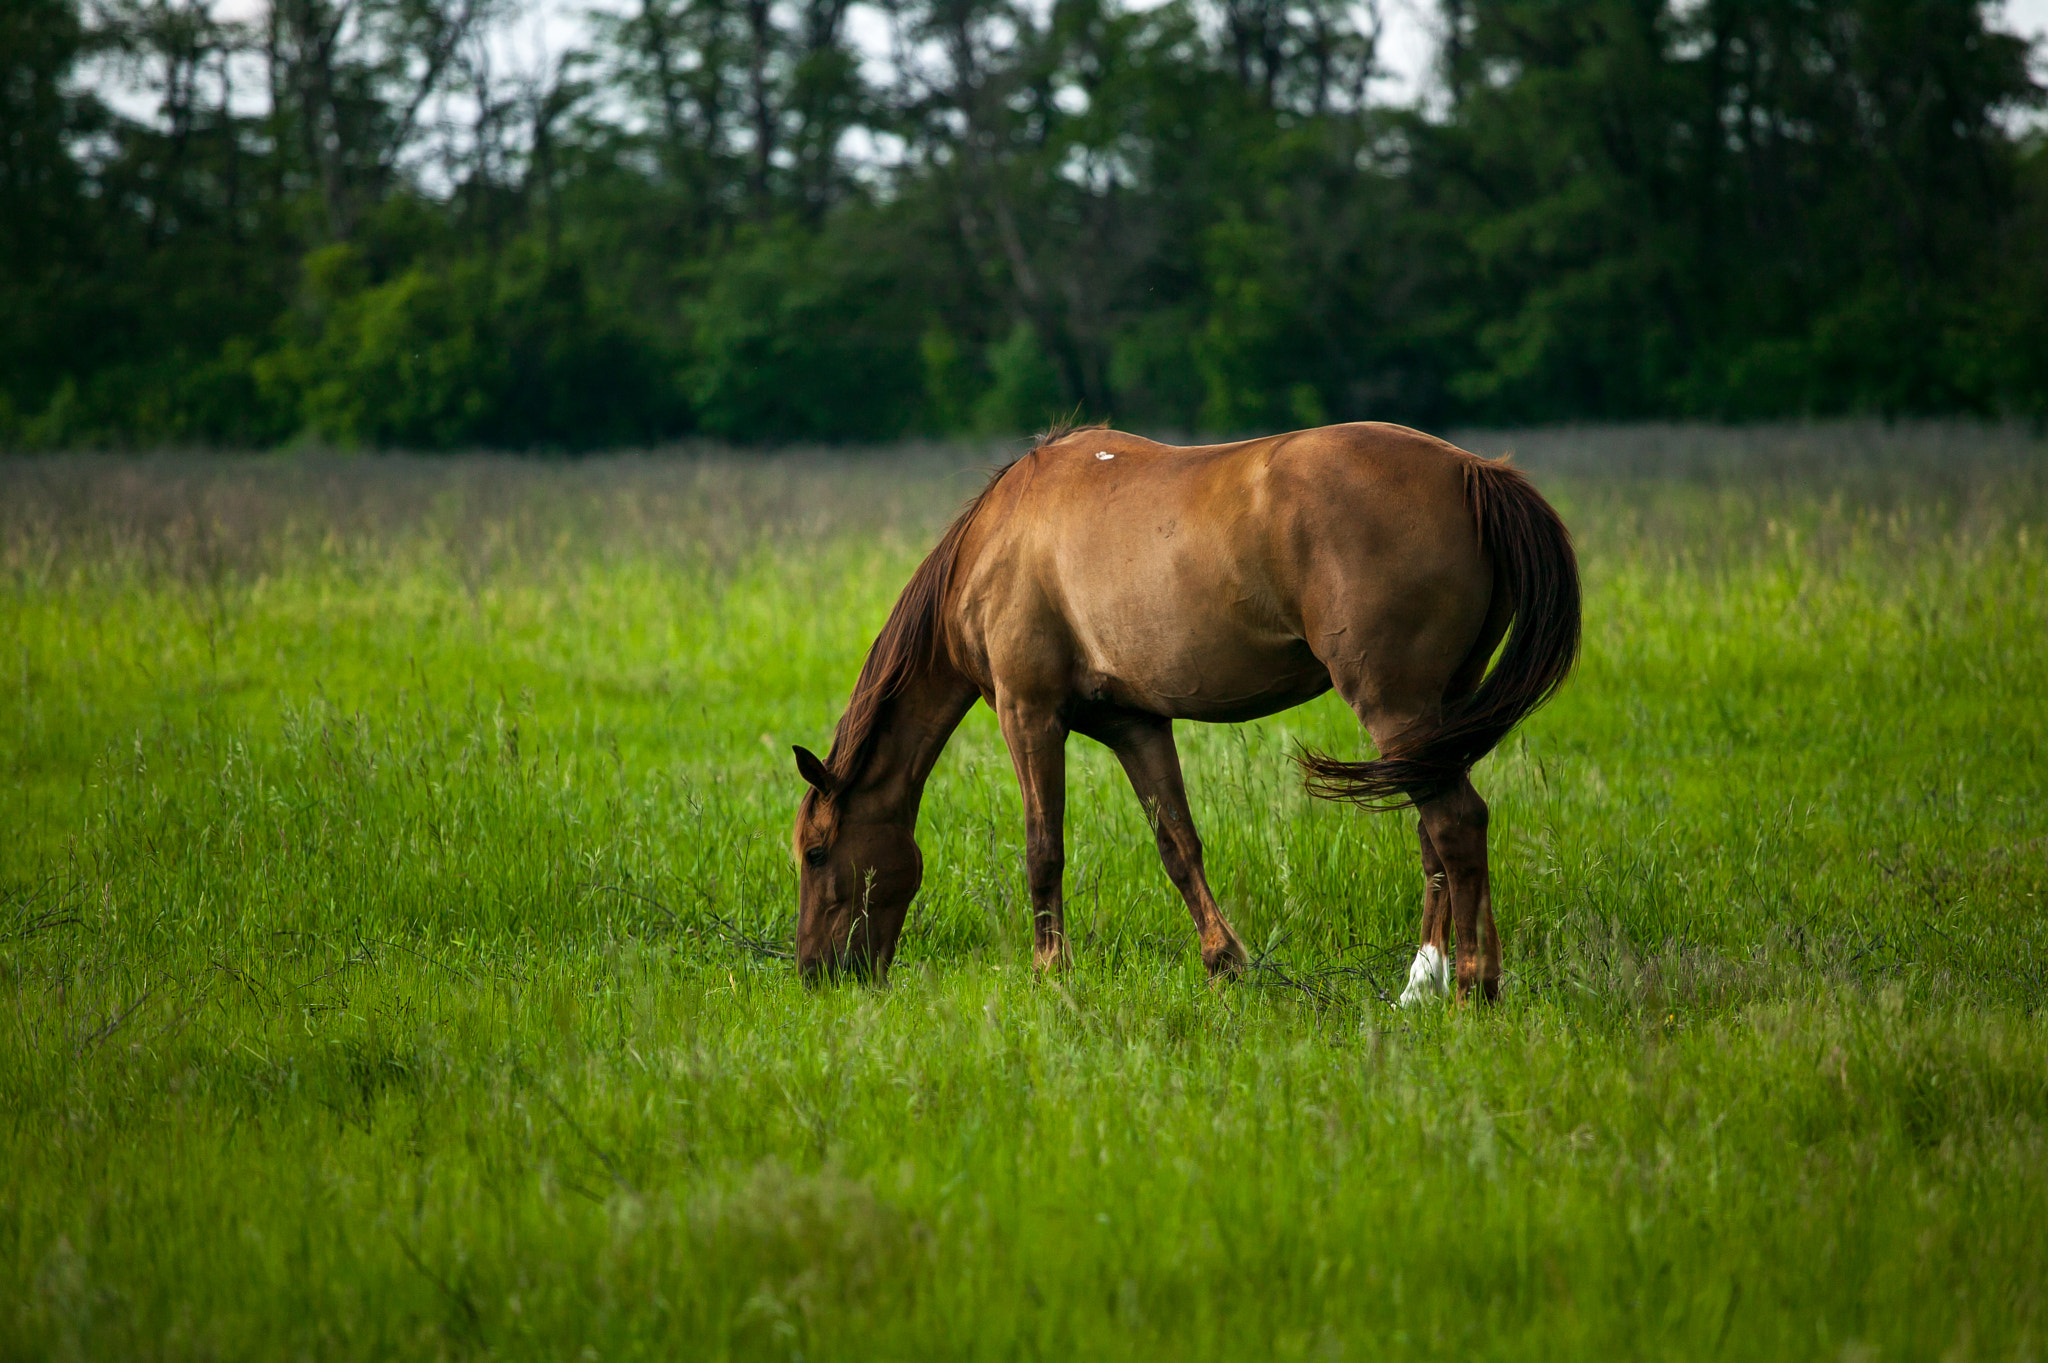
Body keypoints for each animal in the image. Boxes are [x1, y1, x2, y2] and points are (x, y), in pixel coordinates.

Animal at [790, 417, 1572, 998]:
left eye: (817, 851)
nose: (815, 973)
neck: (999, 537)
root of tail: (1474, 472)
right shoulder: (1134, 724)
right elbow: (1177, 843)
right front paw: (1225, 962)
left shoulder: (1028, 711)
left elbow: (1044, 847)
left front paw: (1049, 973)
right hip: (1437, 718)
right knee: (1435, 835)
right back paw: (1426, 984)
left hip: (1396, 706)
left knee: (1455, 824)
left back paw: (1468, 986)